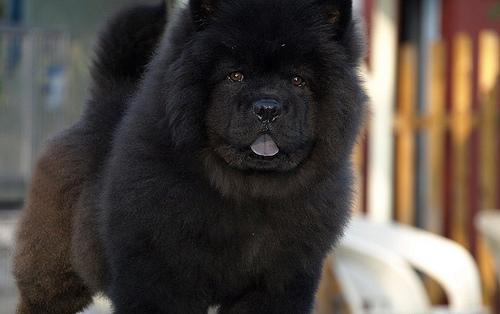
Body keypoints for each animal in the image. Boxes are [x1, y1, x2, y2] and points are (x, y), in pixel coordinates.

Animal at [13, 0, 368, 314]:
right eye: (235, 76)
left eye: (298, 80)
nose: (267, 108)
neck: (245, 192)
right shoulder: (163, 280)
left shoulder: (276, 284)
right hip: (55, 274)